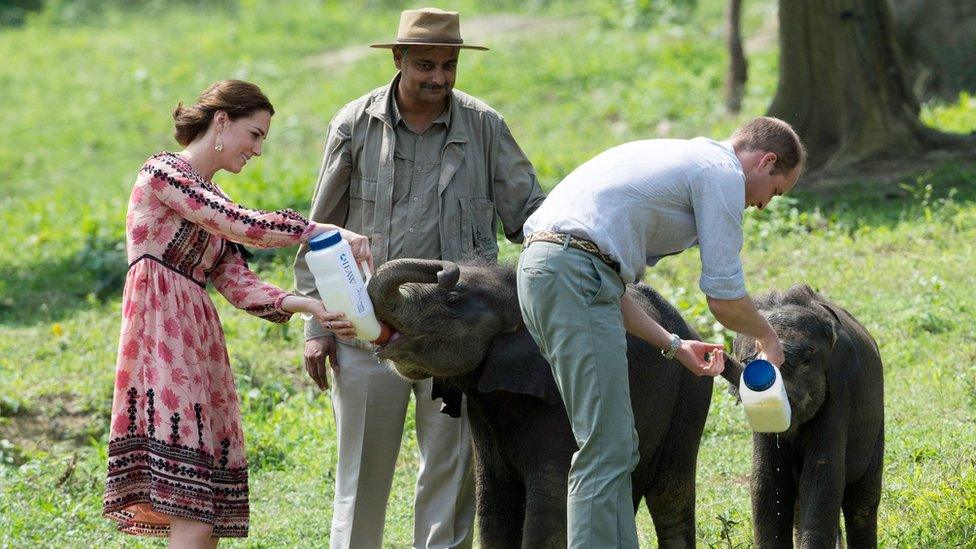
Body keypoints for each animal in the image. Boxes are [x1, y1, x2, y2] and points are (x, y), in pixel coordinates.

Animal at [366, 258, 740, 548]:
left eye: (453, 300)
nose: (446, 269)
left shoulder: (562, 401)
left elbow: (548, 510)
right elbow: (494, 510)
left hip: (689, 400)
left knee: (670, 496)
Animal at [732, 284, 884, 544]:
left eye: (807, 360)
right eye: (747, 362)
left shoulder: (839, 391)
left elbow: (821, 477)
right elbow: (767, 482)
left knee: (862, 501)